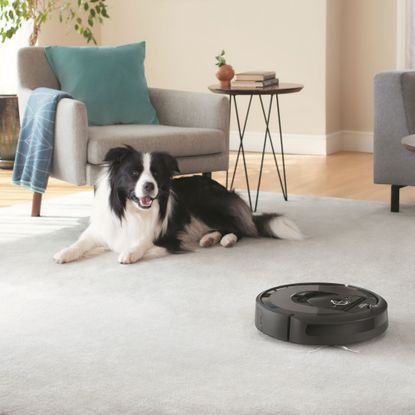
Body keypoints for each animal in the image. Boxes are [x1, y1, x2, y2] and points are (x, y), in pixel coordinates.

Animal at [55, 145, 302, 264]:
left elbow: (145, 241)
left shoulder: (166, 236)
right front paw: (64, 253)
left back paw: (226, 239)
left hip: (206, 204)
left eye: (155, 173)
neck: (132, 210)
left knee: (240, 228)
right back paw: (209, 238)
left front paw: (130, 253)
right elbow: (80, 243)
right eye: (134, 173)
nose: (149, 187)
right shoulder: (102, 230)